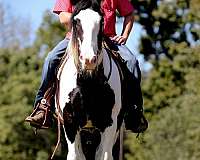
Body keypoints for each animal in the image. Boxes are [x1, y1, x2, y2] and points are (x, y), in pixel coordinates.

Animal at [55, 1, 123, 160]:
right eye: (76, 21)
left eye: (101, 21)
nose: (89, 59)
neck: (88, 82)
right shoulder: (70, 121)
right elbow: (74, 155)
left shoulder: (110, 122)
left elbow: (105, 156)